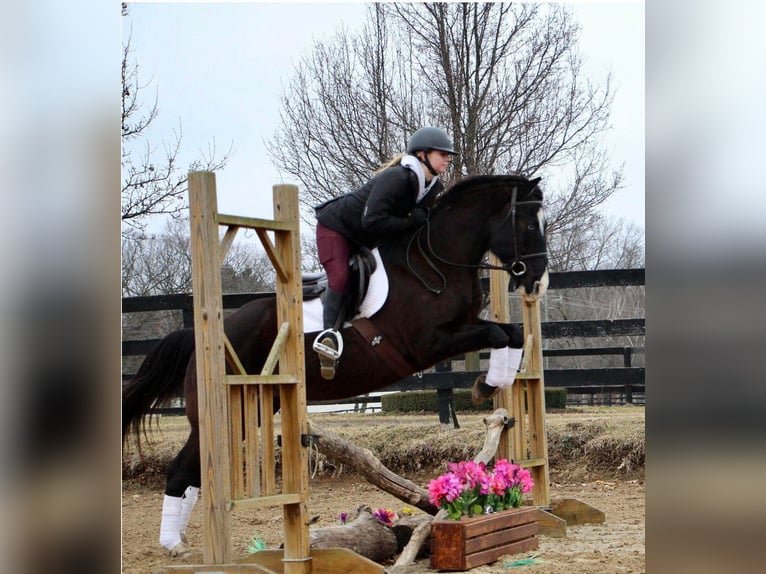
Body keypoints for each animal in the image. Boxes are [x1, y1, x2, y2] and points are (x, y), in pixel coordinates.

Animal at [123, 174, 548, 560]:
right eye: (530, 224)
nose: (538, 284)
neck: (434, 263)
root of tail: (203, 333)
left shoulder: (461, 329)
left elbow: (510, 333)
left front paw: (492, 386)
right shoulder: (430, 342)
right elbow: (497, 332)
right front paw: (486, 385)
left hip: (255, 407)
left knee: (194, 472)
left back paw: (179, 541)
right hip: (223, 412)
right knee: (182, 469)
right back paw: (176, 544)